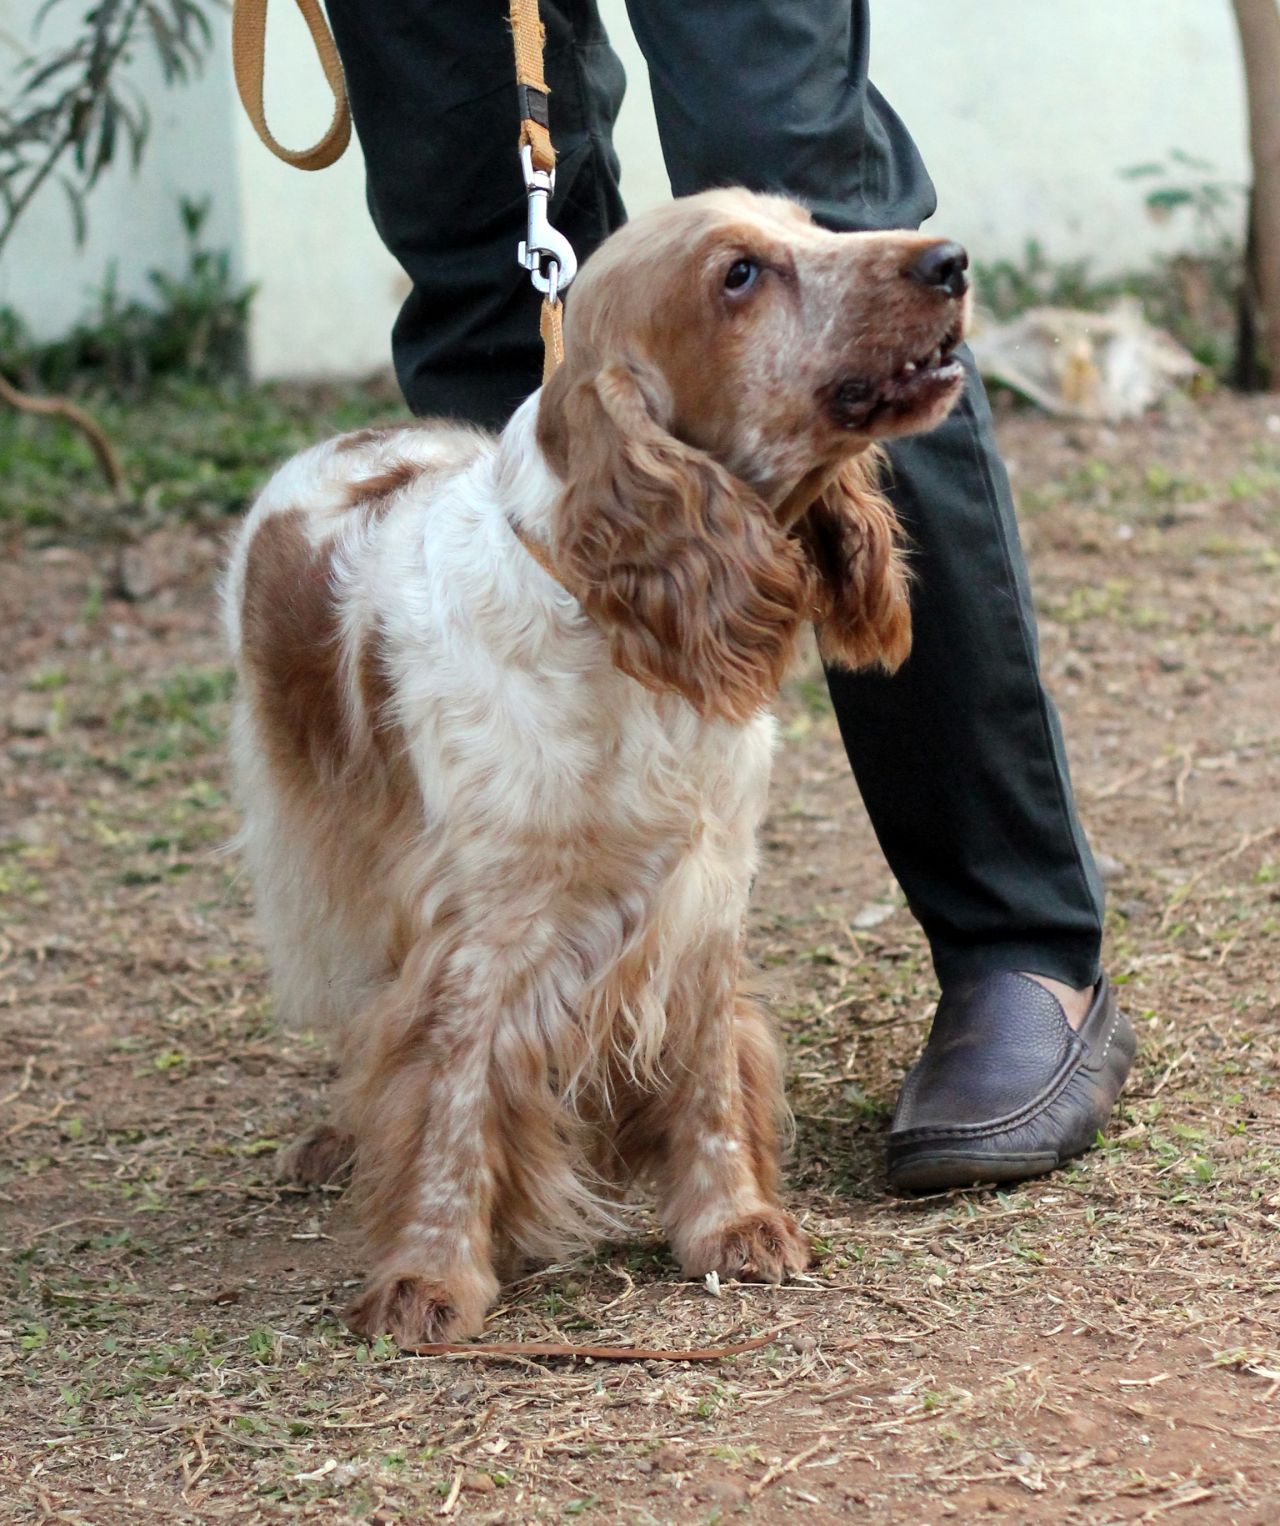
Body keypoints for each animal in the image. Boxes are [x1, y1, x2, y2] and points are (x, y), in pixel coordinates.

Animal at [225, 190, 970, 1348]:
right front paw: (430, 1276)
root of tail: (359, 437)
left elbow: (706, 1078)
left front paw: (730, 1219)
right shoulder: (480, 931)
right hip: (314, 839)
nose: (950, 259)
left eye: (809, 224)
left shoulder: (703, 890)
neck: (613, 627)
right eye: (737, 275)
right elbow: (451, 1099)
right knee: (356, 997)